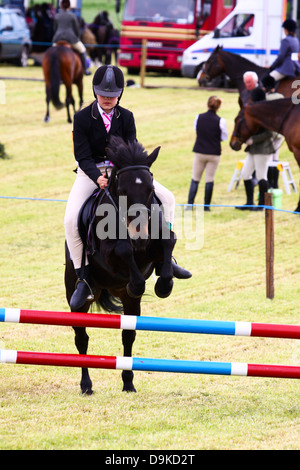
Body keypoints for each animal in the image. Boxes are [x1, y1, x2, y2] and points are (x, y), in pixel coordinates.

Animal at [64, 136, 178, 392]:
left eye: (150, 190)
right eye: (123, 191)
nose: (140, 235)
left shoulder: (153, 245)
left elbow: (169, 240)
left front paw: (164, 284)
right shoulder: (109, 256)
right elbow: (124, 250)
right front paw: (137, 283)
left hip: (129, 303)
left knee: (127, 335)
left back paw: (128, 383)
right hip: (78, 298)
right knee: (81, 338)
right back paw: (86, 385)